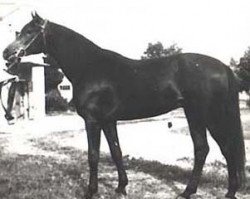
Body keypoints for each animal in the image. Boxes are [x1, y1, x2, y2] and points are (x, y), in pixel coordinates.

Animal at [2, 13, 245, 198]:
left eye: (29, 32)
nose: (6, 53)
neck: (90, 66)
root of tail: (223, 67)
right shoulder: (108, 120)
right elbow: (116, 151)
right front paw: (121, 187)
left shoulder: (92, 121)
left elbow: (93, 154)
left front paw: (91, 191)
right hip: (198, 115)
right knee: (213, 148)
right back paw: (210, 191)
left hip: (206, 115)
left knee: (217, 148)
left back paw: (206, 191)